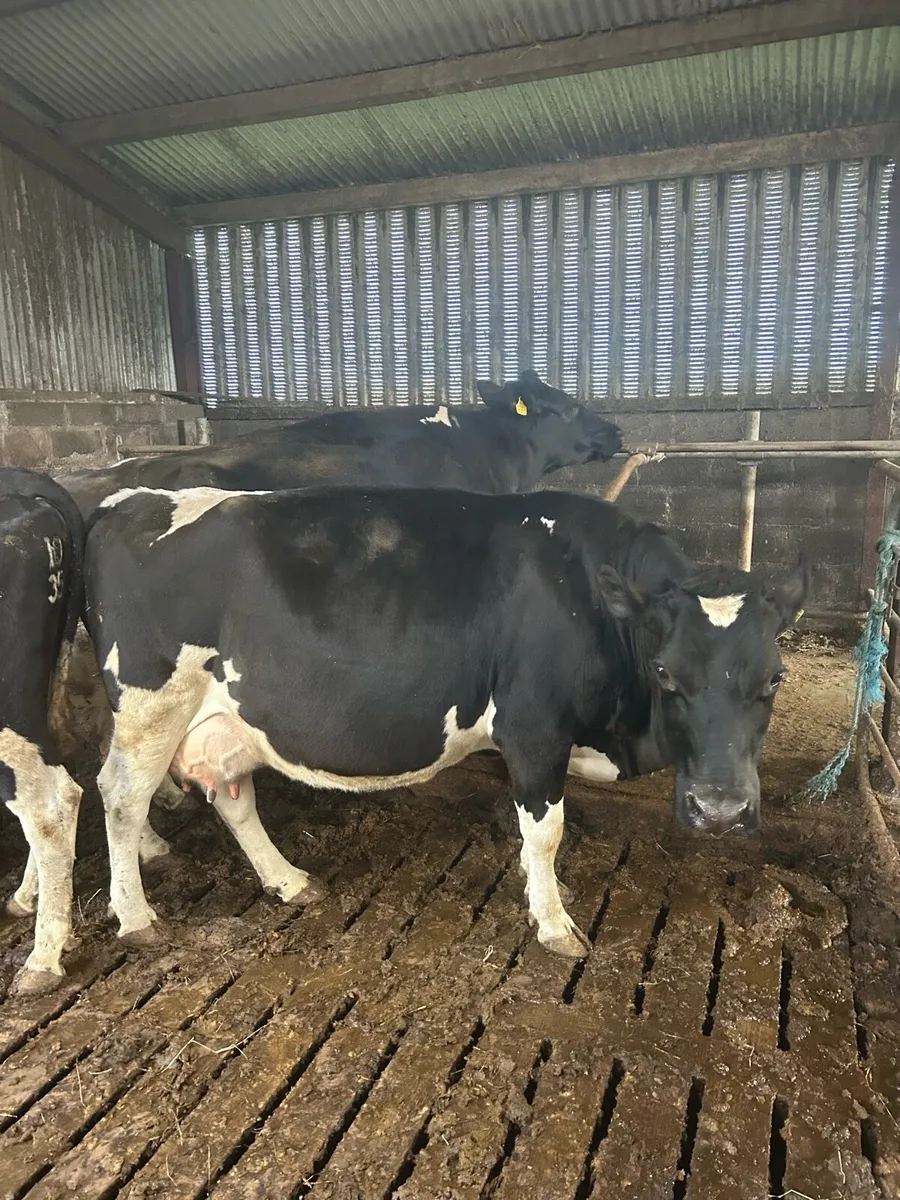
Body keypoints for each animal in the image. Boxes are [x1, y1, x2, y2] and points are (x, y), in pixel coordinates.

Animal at [82, 485, 807, 961]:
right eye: (666, 672)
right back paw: (137, 916)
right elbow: (546, 833)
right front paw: (554, 923)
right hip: (151, 705)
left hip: (224, 720)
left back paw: (288, 880)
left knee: (233, 797)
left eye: (775, 677)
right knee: (119, 796)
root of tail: (126, 500)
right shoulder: (534, 730)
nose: (720, 809)